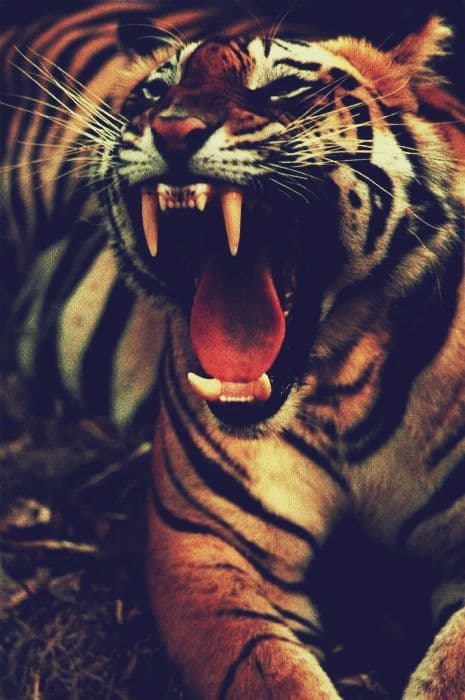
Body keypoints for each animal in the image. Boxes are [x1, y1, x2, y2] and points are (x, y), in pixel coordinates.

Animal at [1, 2, 465, 698]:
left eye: (284, 88)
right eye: (155, 92)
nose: (172, 130)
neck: (341, 385)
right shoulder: (206, 545)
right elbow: (271, 673)